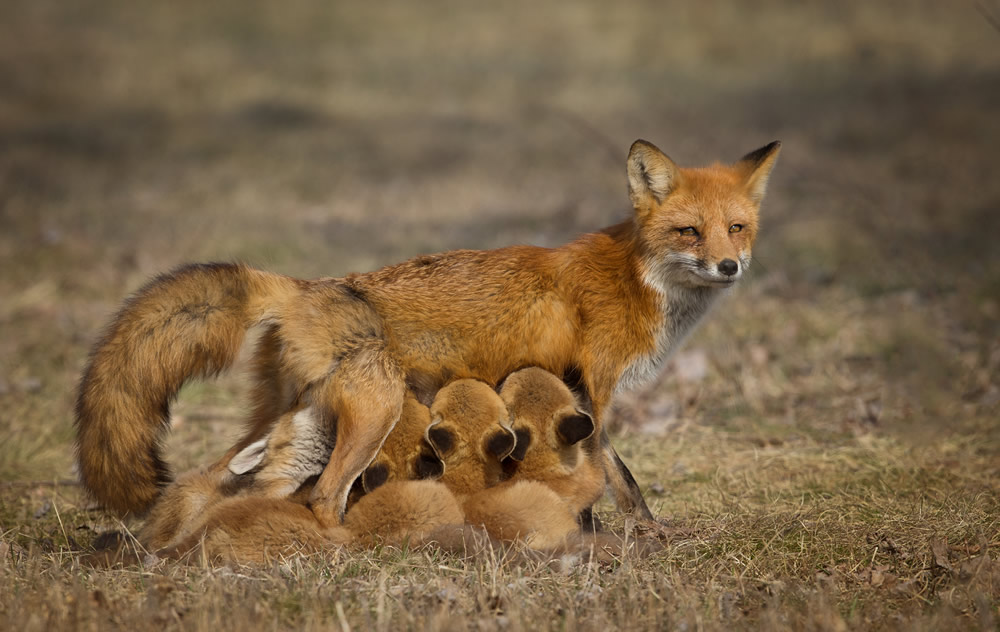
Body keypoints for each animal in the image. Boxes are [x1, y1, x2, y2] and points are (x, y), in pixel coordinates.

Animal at [78, 139, 780, 528]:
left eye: (737, 228)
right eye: (689, 231)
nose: (729, 266)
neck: (638, 278)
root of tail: (305, 285)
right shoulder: (597, 394)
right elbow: (621, 478)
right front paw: (633, 535)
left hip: (286, 418)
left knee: (216, 483)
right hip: (375, 410)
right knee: (323, 497)